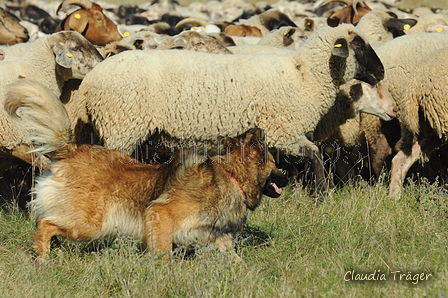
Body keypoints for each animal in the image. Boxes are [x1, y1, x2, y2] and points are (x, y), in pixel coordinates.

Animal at [4, 79, 288, 264]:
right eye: (276, 163)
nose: (286, 177)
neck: (230, 175)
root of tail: (71, 150)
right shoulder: (160, 214)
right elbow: (163, 252)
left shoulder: (214, 238)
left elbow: (236, 259)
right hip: (90, 224)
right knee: (44, 224)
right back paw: (43, 258)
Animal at [75, 24, 384, 197]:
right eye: (358, 45)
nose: (381, 72)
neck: (304, 75)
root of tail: (89, 81)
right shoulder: (283, 130)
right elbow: (315, 155)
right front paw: (322, 195)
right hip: (122, 125)